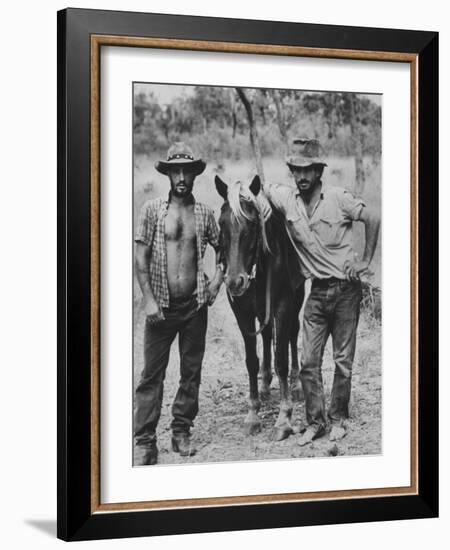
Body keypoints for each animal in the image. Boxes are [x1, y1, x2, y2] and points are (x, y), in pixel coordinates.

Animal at [215, 175, 306, 442]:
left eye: (252, 225)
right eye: (221, 224)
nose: (235, 282)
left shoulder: (283, 305)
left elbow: (282, 358)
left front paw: (284, 418)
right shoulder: (242, 312)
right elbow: (251, 361)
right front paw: (253, 413)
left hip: (297, 297)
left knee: (292, 333)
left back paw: (296, 383)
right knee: (266, 335)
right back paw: (265, 385)